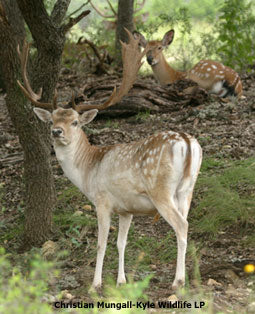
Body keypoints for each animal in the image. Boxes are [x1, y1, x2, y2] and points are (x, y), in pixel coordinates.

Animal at [16, 29, 202, 290]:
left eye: (75, 121)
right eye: (52, 120)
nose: (56, 132)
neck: (88, 170)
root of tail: (186, 141)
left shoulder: (102, 201)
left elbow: (101, 243)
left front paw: (96, 283)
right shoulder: (126, 209)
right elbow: (121, 243)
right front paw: (122, 281)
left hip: (161, 190)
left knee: (181, 225)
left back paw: (178, 281)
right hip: (187, 189)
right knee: (185, 222)